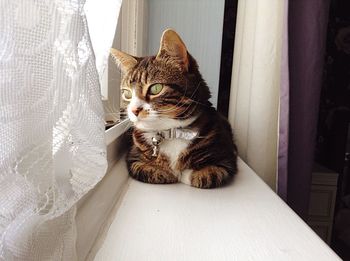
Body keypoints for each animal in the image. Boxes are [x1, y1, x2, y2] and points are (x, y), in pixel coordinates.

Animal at [111, 29, 238, 187]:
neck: (170, 132)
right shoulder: (133, 157)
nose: (134, 110)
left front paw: (186, 173)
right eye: (127, 93)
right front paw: (168, 171)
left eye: (156, 88)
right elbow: (146, 169)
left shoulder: (226, 157)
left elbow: (208, 174)